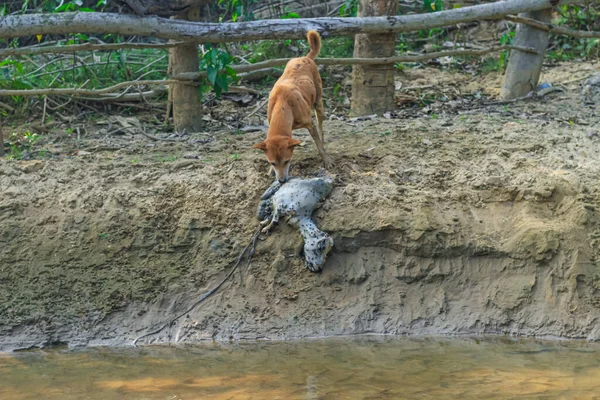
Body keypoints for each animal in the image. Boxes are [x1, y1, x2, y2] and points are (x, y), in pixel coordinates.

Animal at [251, 30, 330, 184]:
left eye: (287, 161)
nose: (282, 181)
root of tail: (305, 57)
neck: (283, 103)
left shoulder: (309, 123)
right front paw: (270, 172)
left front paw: (326, 160)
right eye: (273, 163)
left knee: (320, 126)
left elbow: (318, 145)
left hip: (318, 102)